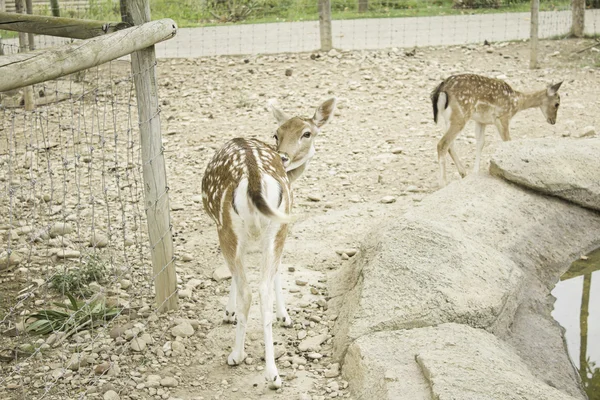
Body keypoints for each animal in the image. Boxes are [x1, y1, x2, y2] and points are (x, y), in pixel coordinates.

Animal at [199, 98, 336, 390]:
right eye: (277, 133)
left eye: (307, 133)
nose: (283, 157)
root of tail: (252, 177)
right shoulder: (273, 228)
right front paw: (285, 317)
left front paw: (229, 313)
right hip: (276, 221)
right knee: (261, 290)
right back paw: (272, 374)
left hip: (228, 226)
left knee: (249, 290)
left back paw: (237, 355)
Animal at [432, 74, 564, 187]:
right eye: (557, 104)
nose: (553, 121)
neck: (517, 102)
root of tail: (441, 90)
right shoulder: (502, 117)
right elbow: (508, 141)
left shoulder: (481, 121)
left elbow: (480, 143)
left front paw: (475, 173)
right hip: (460, 115)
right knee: (442, 144)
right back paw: (443, 183)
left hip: (448, 118)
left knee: (450, 144)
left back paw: (463, 173)